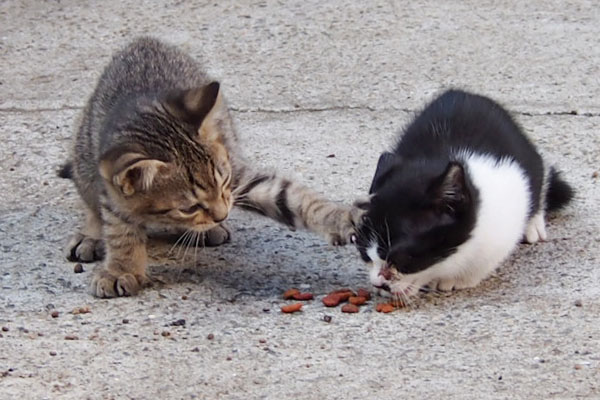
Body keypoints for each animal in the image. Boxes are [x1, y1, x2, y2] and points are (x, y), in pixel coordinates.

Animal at [62, 37, 356, 298]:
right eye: (189, 207)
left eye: (224, 181)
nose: (222, 214)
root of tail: (142, 41)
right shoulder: (112, 190)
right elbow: (119, 230)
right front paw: (120, 269)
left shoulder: (236, 174)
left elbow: (289, 196)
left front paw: (343, 218)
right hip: (83, 155)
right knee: (91, 202)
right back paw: (91, 236)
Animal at [354, 89, 576, 298]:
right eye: (364, 252)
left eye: (402, 258)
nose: (377, 283)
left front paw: (456, 279)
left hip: (529, 156)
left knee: (539, 172)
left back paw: (534, 222)